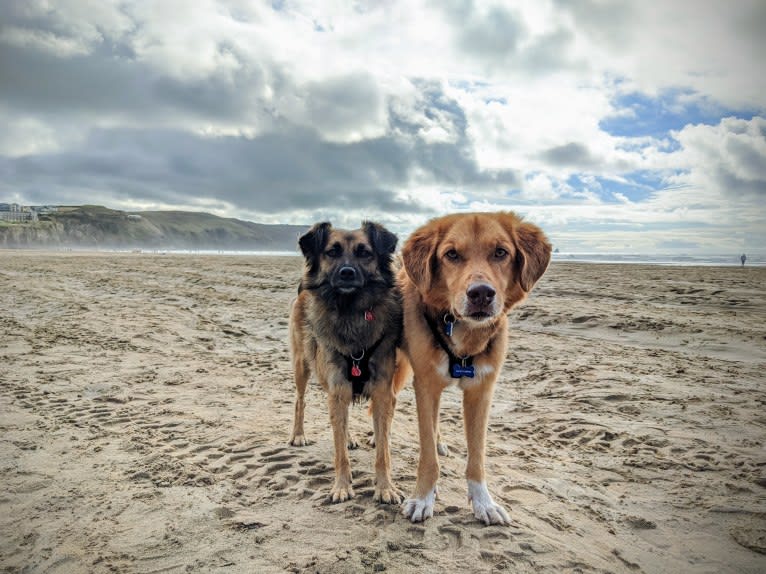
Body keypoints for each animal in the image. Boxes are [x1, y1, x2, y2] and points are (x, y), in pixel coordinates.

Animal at [292, 220, 404, 504]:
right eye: (332, 252)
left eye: (364, 253)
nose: (346, 273)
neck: (350, 309)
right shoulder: (338, 387)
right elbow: (339, 450)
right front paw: (341, 486)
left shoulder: (381, 391)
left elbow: (383, 450)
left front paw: (385, 487)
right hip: (302, 364)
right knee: (300, 400)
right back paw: (298, 435)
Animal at [396, 213, 552, 528]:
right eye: (451, 254)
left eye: (501, 252)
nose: (481, 293)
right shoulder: (425, 385)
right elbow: (427, 455)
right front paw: (422, 497)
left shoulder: (481, 391)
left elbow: (477, 456)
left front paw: (484, 503)